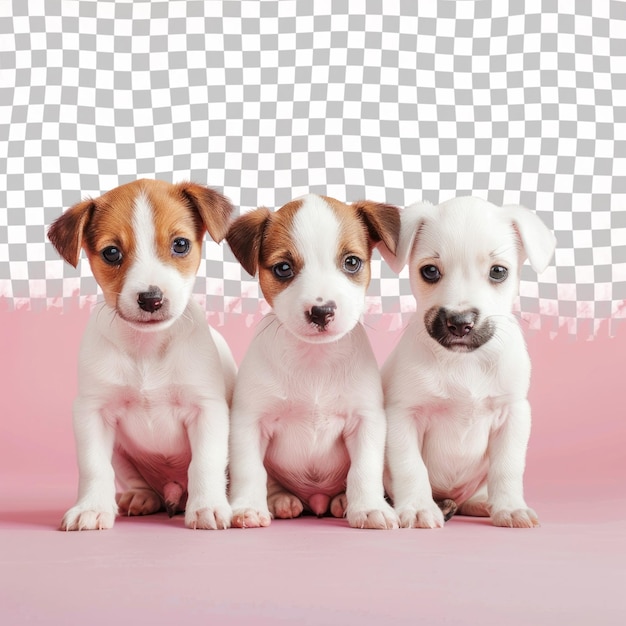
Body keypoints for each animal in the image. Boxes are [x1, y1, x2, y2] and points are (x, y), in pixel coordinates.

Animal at [47, 178, 235, 528]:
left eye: (180, 245)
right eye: (111, 252)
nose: (151, 298)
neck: (147, 348)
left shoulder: (207, 411)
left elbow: (204, 463)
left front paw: (207, 506)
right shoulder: (92, 412)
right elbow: (94, 467)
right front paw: (91, 507)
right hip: (121, 451)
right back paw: (141, 496)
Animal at [224, 194, 400, 528]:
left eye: (352, 262)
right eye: (283, 268)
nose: (321, 312)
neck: (314, 360)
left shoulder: (366, 422)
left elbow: (364, 470)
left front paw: (369, 507)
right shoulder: (249, 423)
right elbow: (250, 470)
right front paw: (247, 507)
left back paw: (342, 500)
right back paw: (281, 500)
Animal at [378, 195, 552, 528]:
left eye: (498, 271)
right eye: (430, 271)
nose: (459, 322)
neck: (464, 362)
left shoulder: (513, 414)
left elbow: (507, 467)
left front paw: (509, 506)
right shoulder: (403, 417)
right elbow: (410, 467)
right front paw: (418, 507)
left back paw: (482, 502)